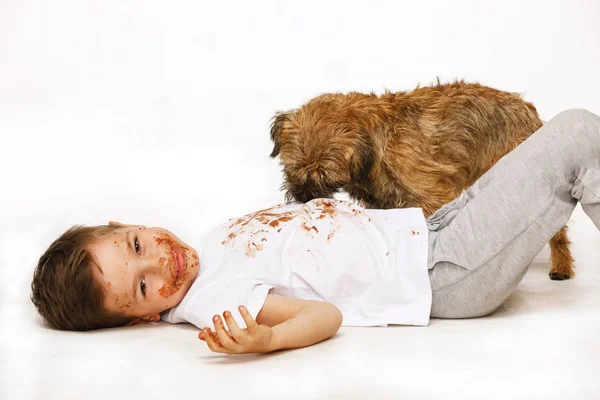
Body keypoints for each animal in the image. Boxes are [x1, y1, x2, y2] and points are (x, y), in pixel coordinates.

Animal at [270, 79, 576, 280]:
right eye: (292, 169)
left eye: (323, 177)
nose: (303, 197)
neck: (375, 144)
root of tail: (528, 110)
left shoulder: (432, 196)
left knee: (557, 229)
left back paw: (561, 266)